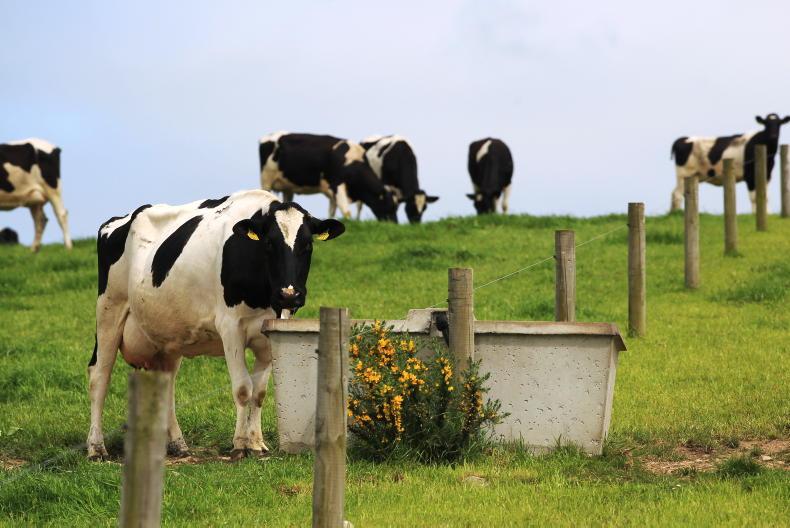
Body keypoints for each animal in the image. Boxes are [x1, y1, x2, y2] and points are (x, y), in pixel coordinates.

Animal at [86, 190, 345, 460]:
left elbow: (259, 393)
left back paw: (177, 444)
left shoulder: (270, 333)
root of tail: (119, 219)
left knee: (167, 382)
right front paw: (240, 445)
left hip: (168, 337)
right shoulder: (230, 327)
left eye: (308, 245)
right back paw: (96, 448)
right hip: (109, 310)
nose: (289, 295)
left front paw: (256, 443)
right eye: (268, 244)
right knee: (99, 376)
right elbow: (243, 388)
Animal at [259, 132, 398, 222]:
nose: (394, 224)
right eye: (390, 207)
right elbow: (346, 211)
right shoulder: (337, 184)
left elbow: (332, 210)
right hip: (266, 180)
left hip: (287, 186)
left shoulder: (331, 190)